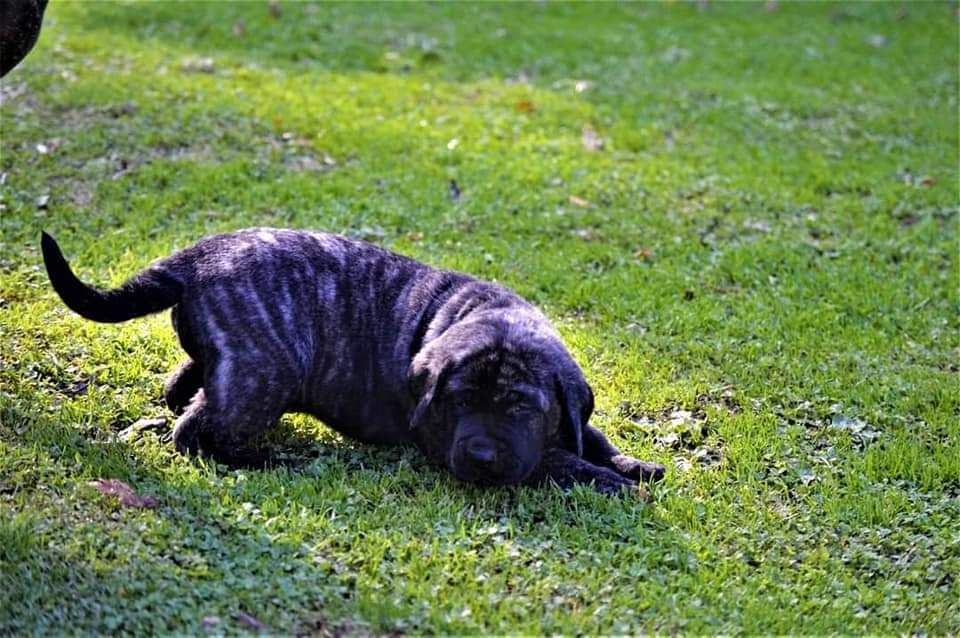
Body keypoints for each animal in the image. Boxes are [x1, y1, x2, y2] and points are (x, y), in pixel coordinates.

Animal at [41, 228, 665, 494]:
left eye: (521, 408)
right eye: (460, 402)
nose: (481, 454)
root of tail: (197, 257)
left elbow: (587, 433)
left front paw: (633, 464)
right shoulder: (439, 437)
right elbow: (552, 460)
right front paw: (609, 481)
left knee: (191, 386)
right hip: (265, 375)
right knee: (197, 430)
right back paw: (263, 460)